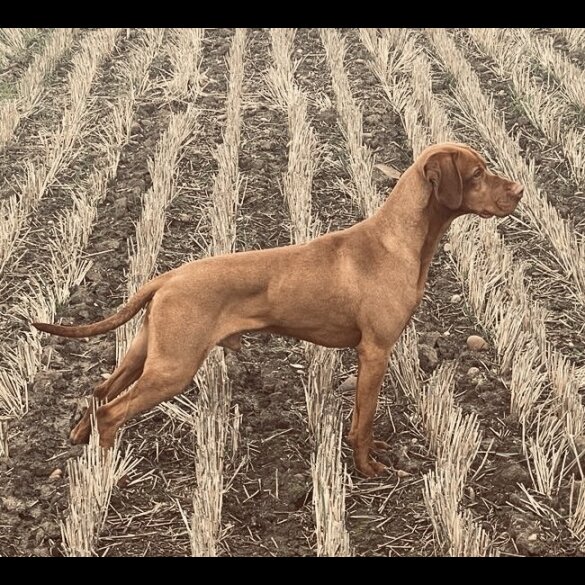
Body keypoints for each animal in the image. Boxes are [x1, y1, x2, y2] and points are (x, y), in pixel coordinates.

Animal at [33, 141, 524, 474]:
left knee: (100, 391)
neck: (398, 240)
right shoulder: (376, 351)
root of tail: (166, 278)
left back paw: (81, 439)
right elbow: (365, 419)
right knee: (112, 411)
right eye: (477, 173)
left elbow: (358, 418)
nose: (519, 191)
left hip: (147, 352)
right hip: (173, 368)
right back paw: (105, 470)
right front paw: (367, 468)